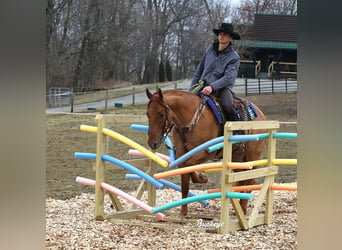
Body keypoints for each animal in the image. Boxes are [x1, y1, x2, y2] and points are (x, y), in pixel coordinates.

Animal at [146, 89, 266, 218]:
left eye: (161, 114)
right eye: (148, 114)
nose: (152, 143)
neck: (189, 121)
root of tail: (261, 114)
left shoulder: (206, 153)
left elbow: (190, 164)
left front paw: (201, 178)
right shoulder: (182, 155)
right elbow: (185, 183)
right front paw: (183, 213)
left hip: (251, 156)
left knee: (250, 180)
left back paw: (243, 210)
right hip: (236, 158)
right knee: (243, 178)